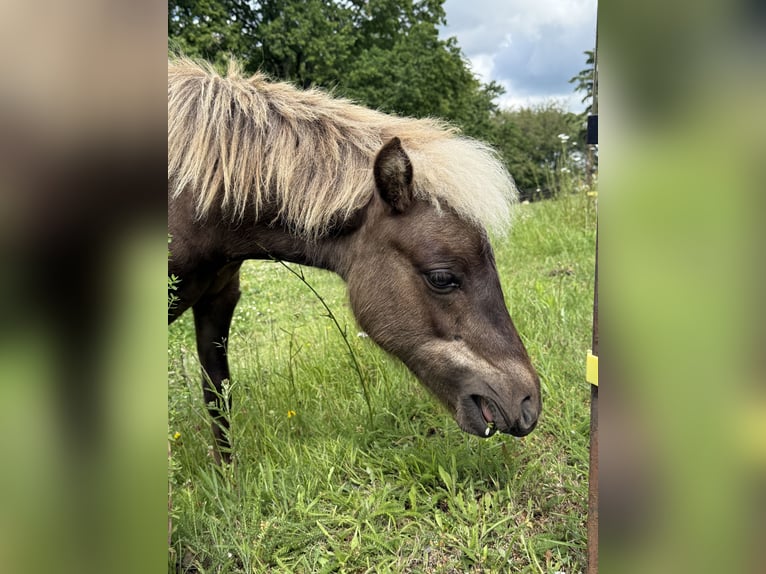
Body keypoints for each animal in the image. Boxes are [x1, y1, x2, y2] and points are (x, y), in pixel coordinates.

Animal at [168, 58, 541, 462]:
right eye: (442, 278)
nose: (527, 404)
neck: (189, 198)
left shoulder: (219, 298)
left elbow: (217, 395)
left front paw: (227, 476)